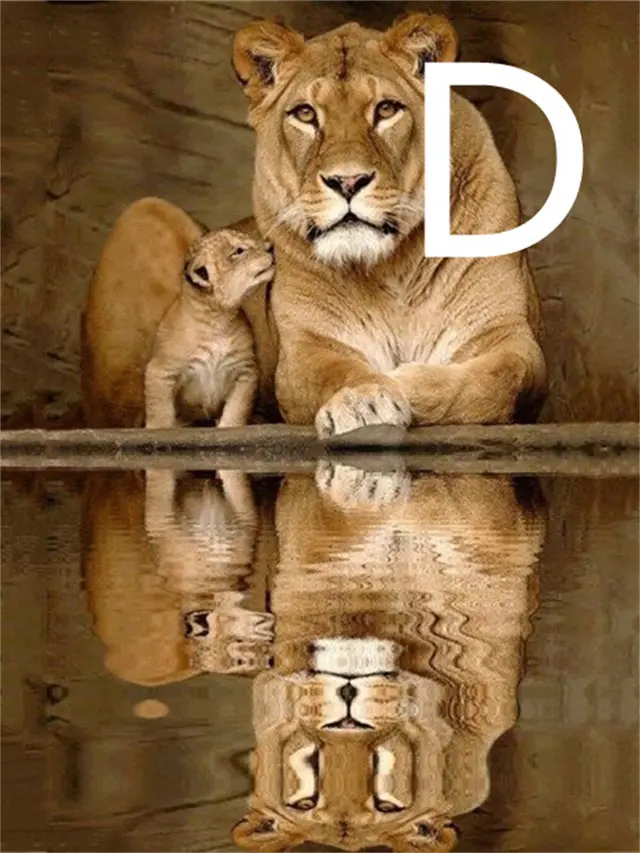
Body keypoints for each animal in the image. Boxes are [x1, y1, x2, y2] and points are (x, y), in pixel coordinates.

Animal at [81, 13, 546, 433]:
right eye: (305, 114)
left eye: (386, 109)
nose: (347, 181)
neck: (393, 267)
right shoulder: (304, 349)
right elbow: (335, 372)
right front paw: (365, 400)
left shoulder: (511, 337)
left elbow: (497, 380)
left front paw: (404, 382)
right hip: (145, 212)